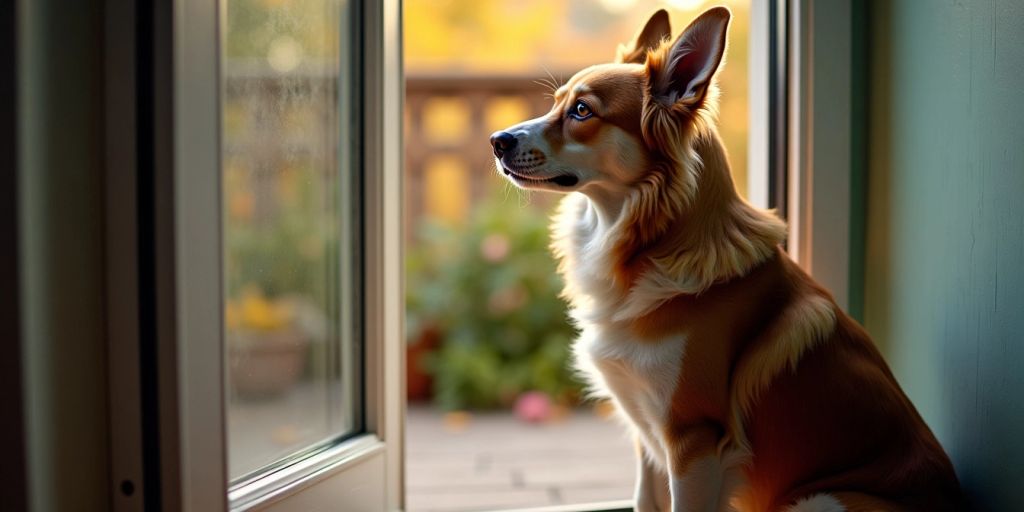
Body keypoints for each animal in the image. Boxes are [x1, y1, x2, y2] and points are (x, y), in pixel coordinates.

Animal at [487, 8, 958, 512]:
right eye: (556, 103)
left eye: (582, 111)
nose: (497, 140)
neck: (645, 247)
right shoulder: (647, 435)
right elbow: (643, 500)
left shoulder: (692, 440)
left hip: (822, 499)